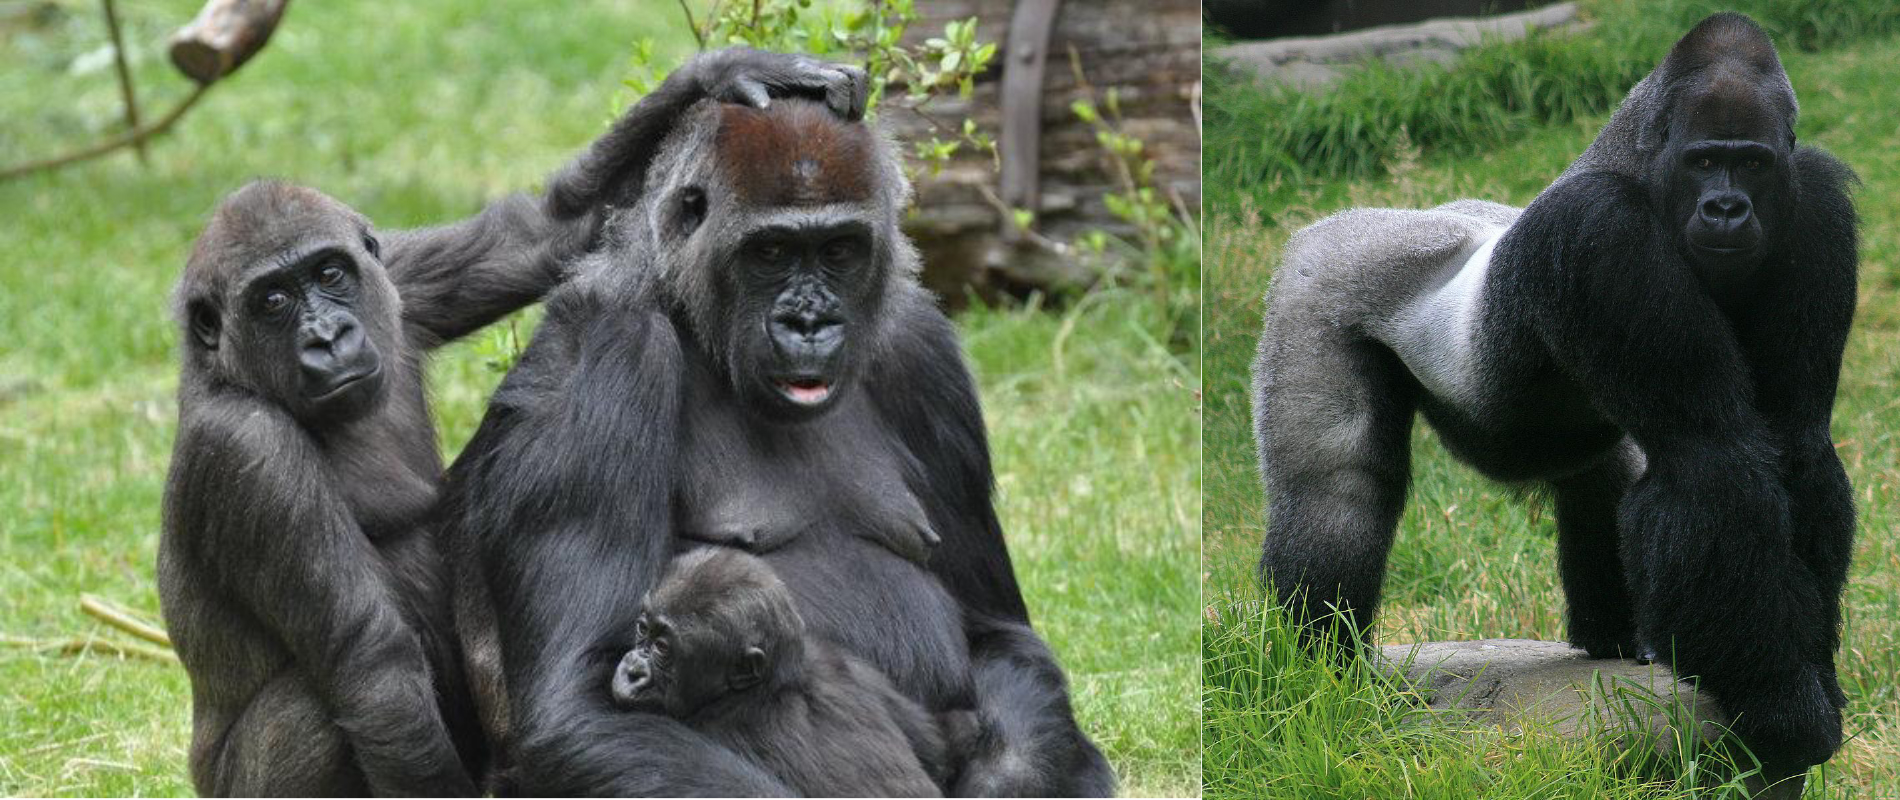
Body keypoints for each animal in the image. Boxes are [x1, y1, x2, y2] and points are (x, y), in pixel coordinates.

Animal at [157, 49, 870, 790]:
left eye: (329, 274)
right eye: (272, 300)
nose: (328, 336)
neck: (227, 367)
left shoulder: (398, 279)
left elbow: (538, 233)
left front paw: (721, 73)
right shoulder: (250, 449)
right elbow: (372, 668)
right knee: (316, 709)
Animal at [611, 547, 965, 798]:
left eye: (662, 648)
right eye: (643, 629)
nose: (632, 671)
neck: (775, 683)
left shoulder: (719, 726)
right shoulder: (843, 661)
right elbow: (941, 747)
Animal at [1261, 10, 1854, 771]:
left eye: (1750, 162)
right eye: (1703, 162)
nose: (1726, 207)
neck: (1634, 159)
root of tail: (1352, 219)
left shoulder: (1814, 204)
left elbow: (1795, 444)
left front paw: (1810, 681)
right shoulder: (1602, 230)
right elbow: (1712, 457)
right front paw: (1784, 703)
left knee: (1605, 476)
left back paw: (1618, 641)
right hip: (1318, 281)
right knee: (1337, 490)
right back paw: (1317, 667)